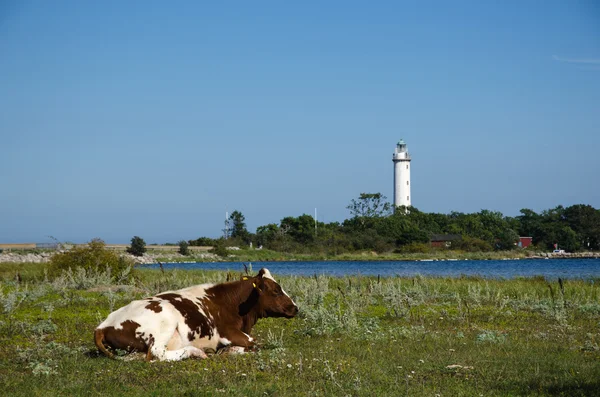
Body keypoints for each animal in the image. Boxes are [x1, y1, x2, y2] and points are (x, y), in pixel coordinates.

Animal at [94, 268, 298, 360]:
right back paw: (196, 352)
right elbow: (254, 343)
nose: (296, 307)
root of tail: (102, 326)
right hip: (166, 320)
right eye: (276, 291)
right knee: (158, 353)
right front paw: (229, 350)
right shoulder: (228, 333)